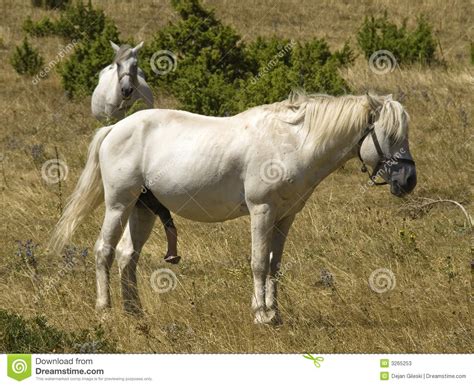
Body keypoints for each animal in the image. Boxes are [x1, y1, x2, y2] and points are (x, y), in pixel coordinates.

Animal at [50, 92, 416, 324]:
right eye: (389, 134)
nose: (409, 179)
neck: (291, 143)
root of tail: (115, 128)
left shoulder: (285, 217)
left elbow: (274, 265)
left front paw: (276, 313)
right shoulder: (262, 211)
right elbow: (258, 263)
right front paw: (261, 315)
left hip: (142, 209)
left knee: (128, 256)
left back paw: (134, 313)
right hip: (119, 203)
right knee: (104, 251)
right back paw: (105, 310)